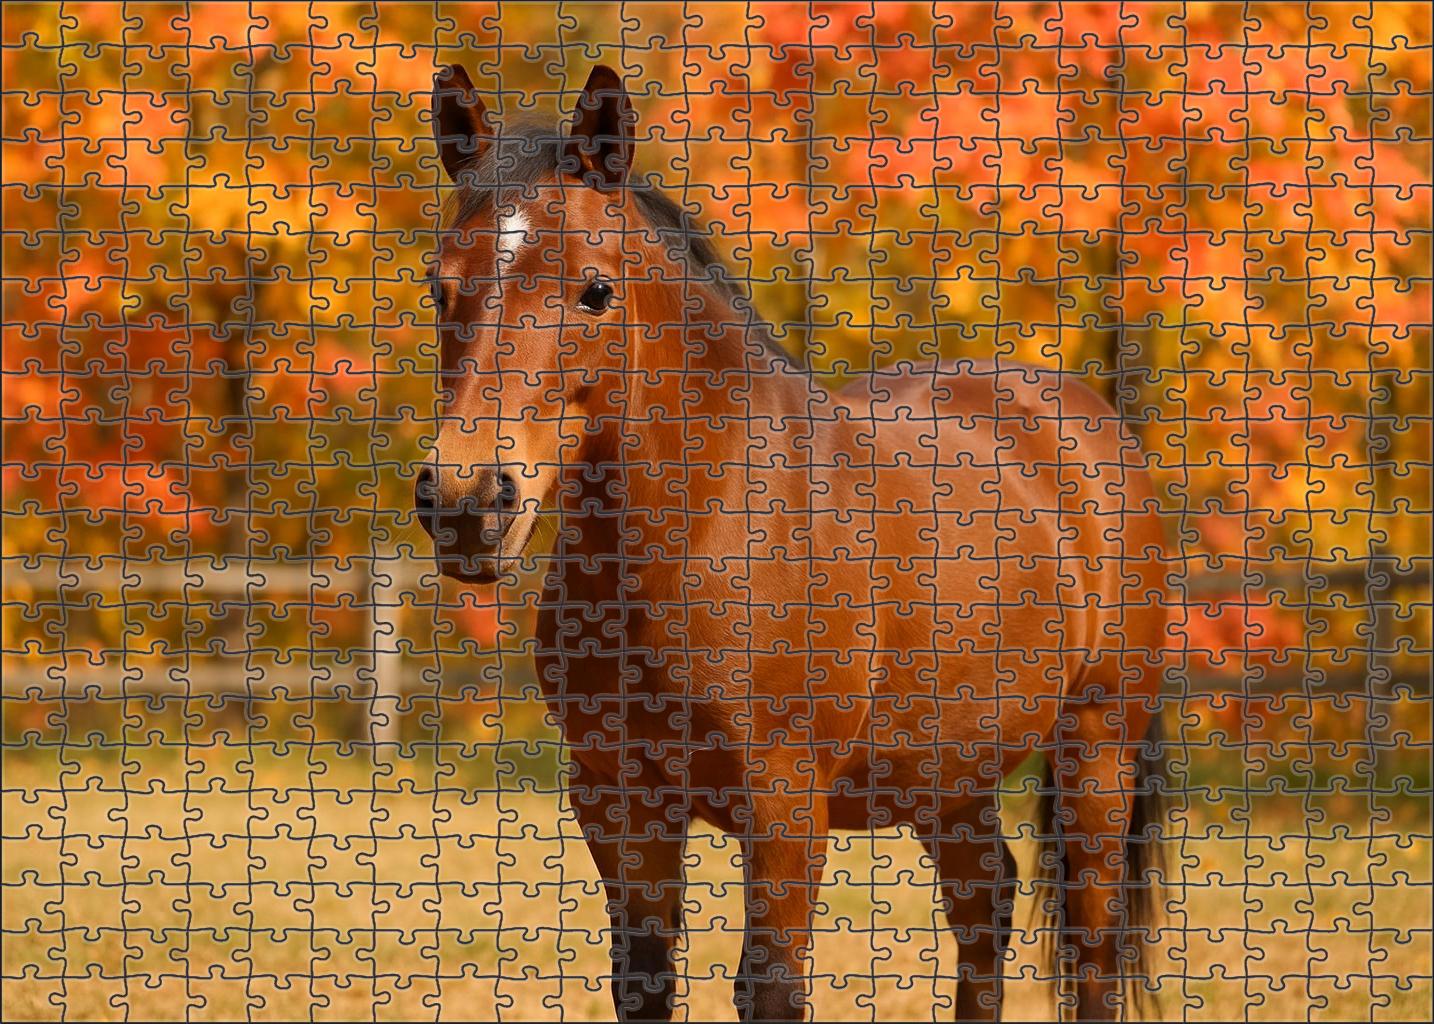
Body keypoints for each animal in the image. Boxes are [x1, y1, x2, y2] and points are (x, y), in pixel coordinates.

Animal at [415, 63, 1168, 1023]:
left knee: (1094, 951)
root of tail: (1087, 427)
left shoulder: (784, 803)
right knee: (984, 908)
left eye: (595, 290)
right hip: (949, 775)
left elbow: (771, 986)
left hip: (1097, 754)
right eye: (439, 287)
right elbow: (644, 982)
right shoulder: (620, 802)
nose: (468, 501)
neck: (701, 526)